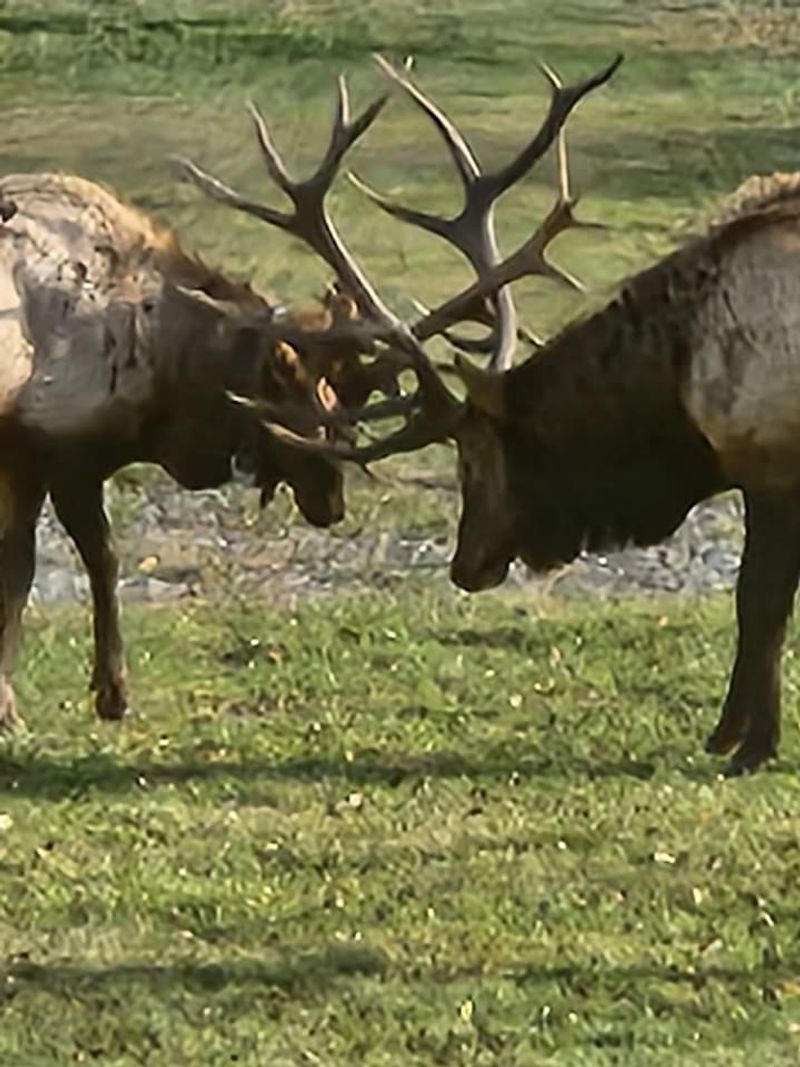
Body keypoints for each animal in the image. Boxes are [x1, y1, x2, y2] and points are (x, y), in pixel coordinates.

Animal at [180, 52, 800, 775]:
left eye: (471, 460)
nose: (463, 565)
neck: (676, 382)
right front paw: (737, 734)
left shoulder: (770, 465)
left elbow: (758, 605)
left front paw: (745, 742)